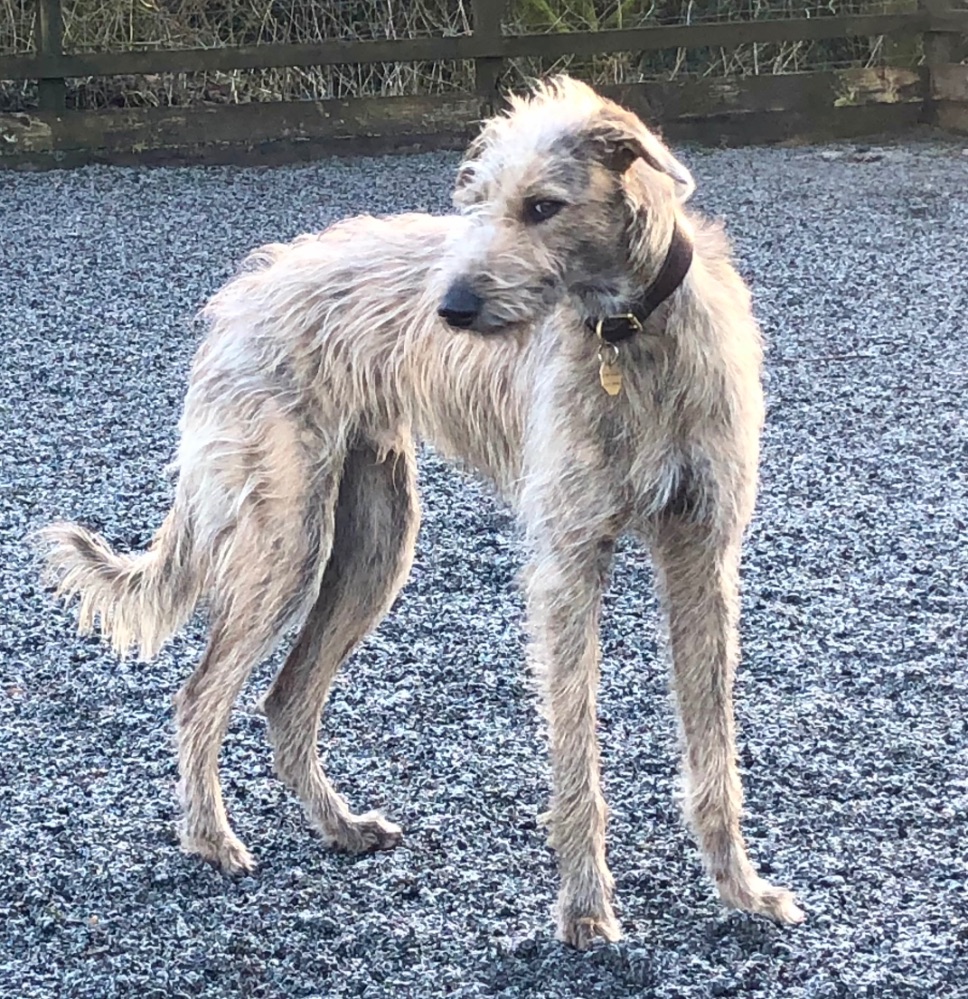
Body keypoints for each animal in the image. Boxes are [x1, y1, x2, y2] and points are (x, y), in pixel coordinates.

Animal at [41, 76, 804, 948]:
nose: (451, 308)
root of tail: (242, 295)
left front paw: (741, 889)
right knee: (201, 693)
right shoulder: (569, 562)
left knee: (285, 696)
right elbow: (576, 751)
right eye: (475, 204)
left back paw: (338, 824)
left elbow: (714, 749)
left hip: (375, 542)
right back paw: (210, 837)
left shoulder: (703, 555)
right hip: (284, 539)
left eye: (543, 206)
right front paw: (585, 906)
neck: (627, 334)